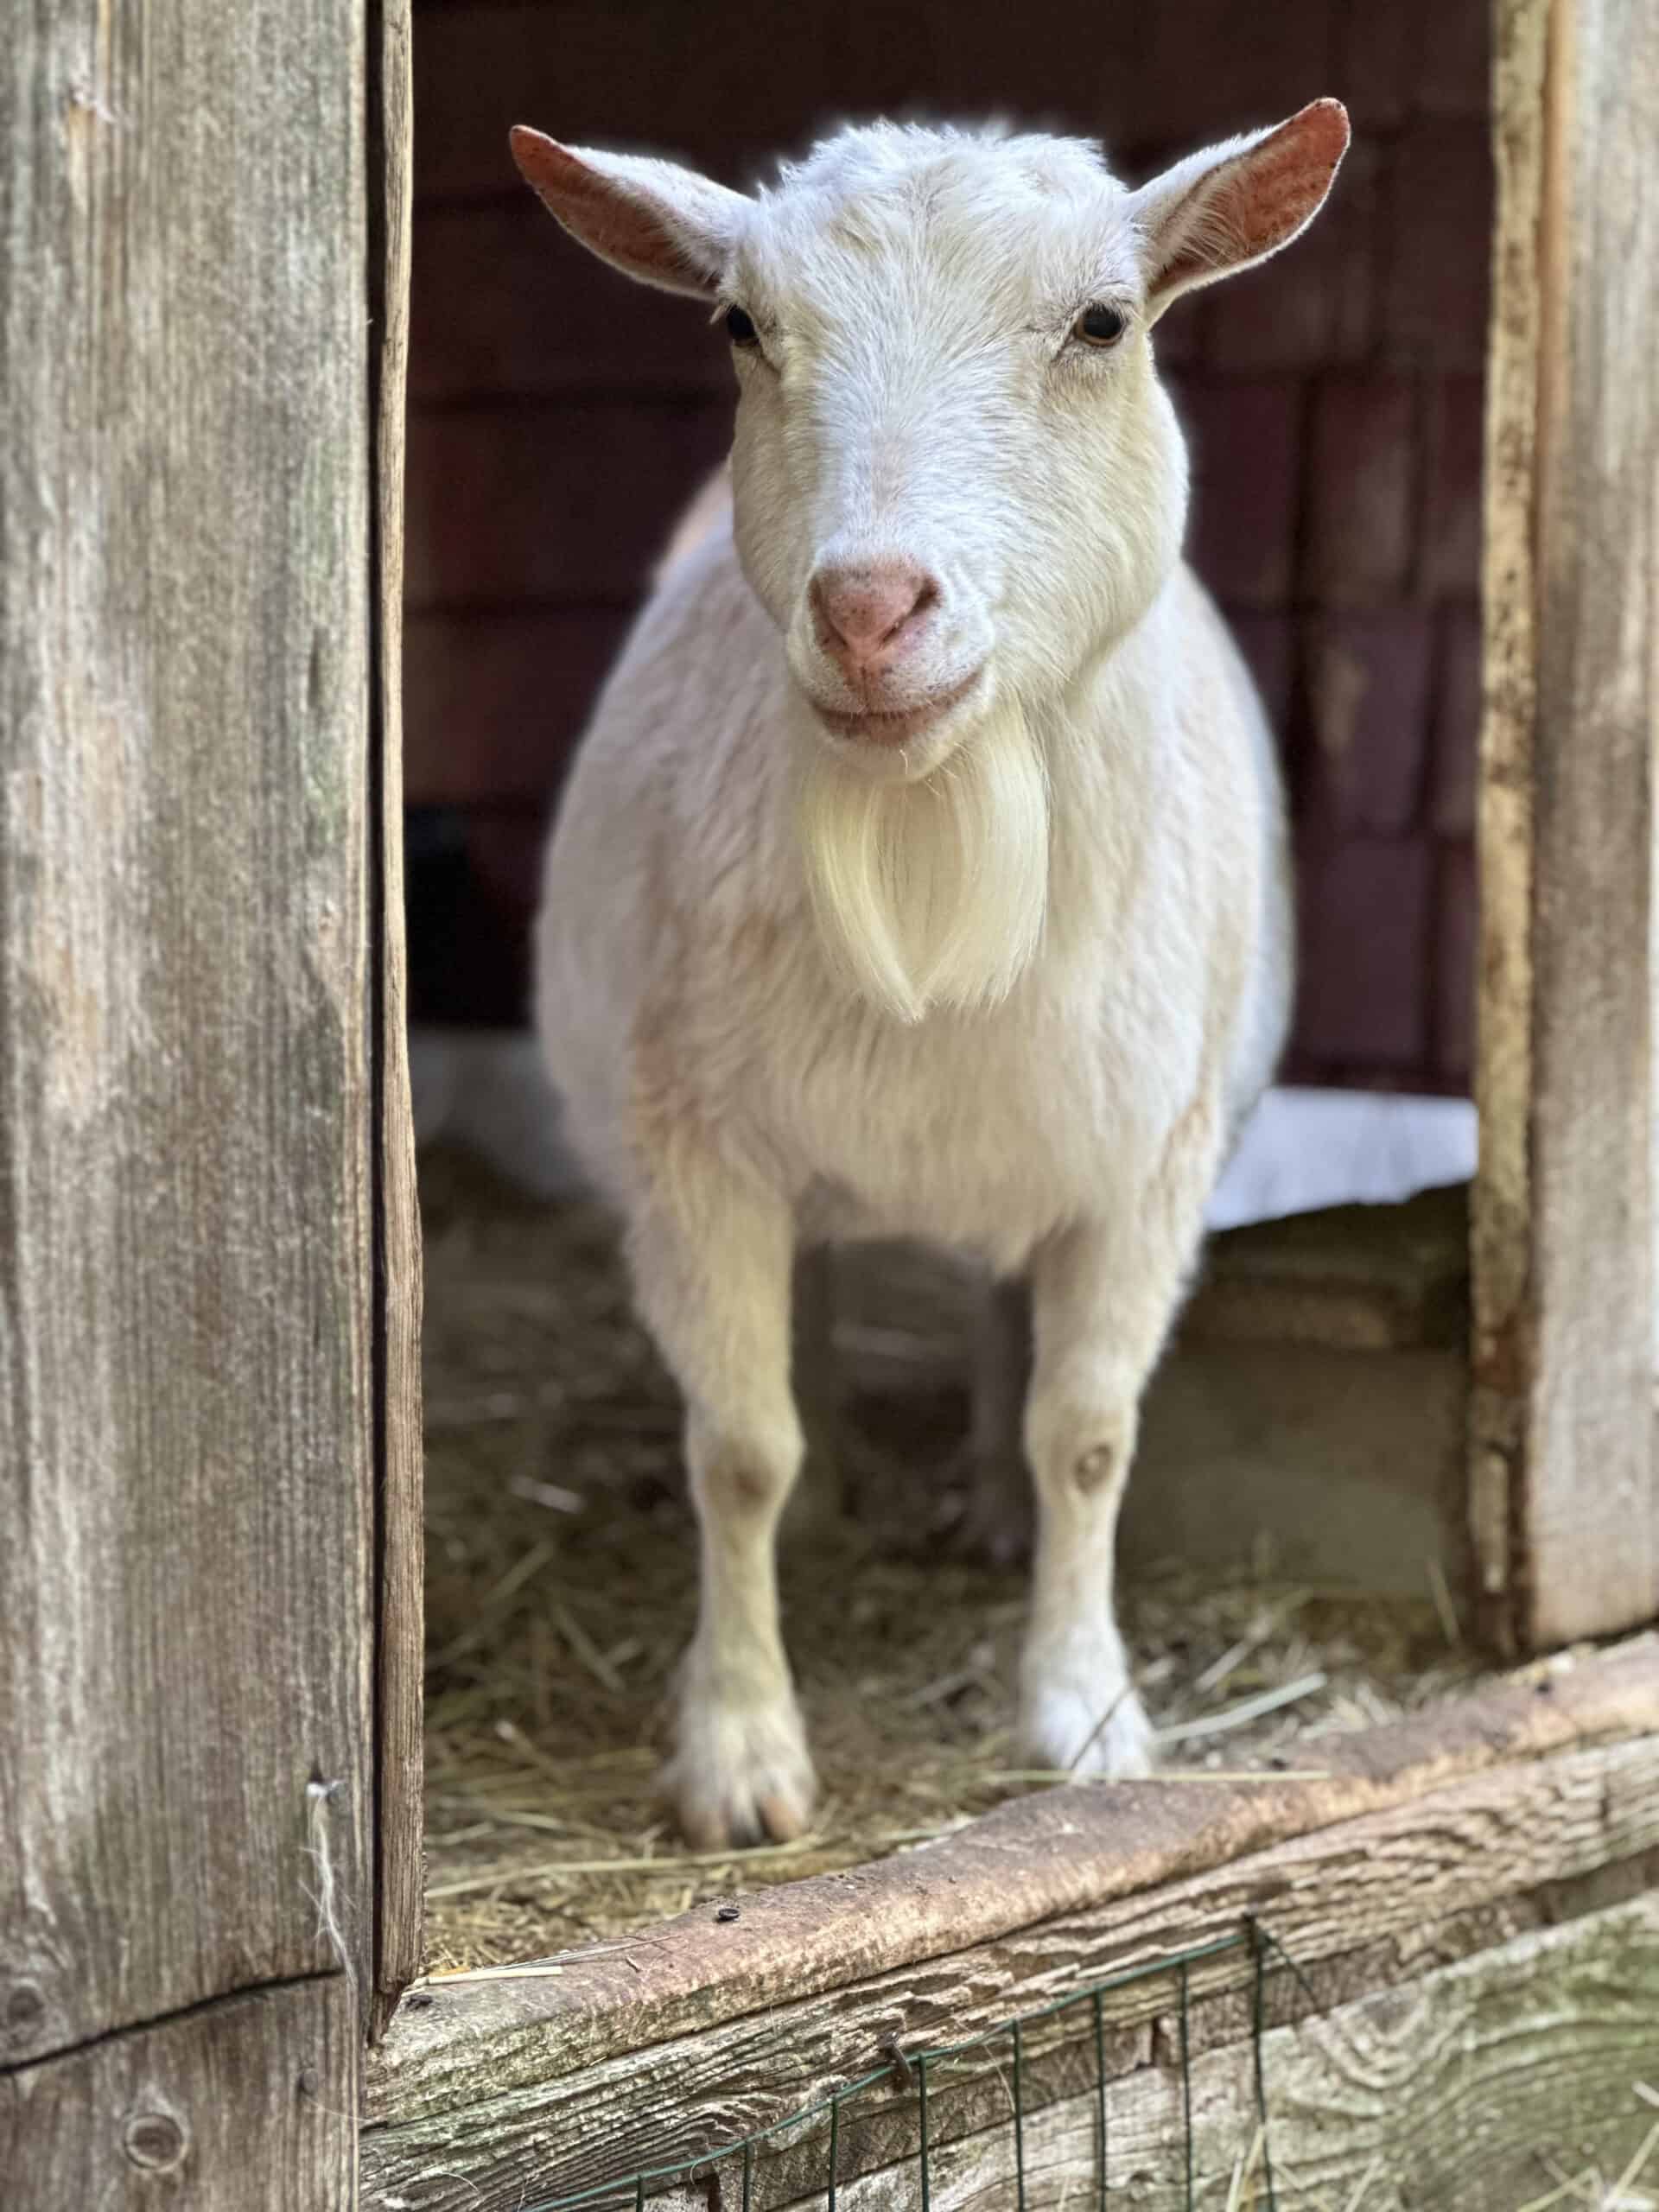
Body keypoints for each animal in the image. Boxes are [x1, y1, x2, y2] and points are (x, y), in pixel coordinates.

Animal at [510, 102, 1348, 1848]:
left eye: (1103, 322)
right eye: (741, 327)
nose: (869, 608)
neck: (932, 836)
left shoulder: (1147, 1160)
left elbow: (1086, 1436)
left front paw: (1084, 1711)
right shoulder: (694, 1151)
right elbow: (738, 1448)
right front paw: (741, 1755)